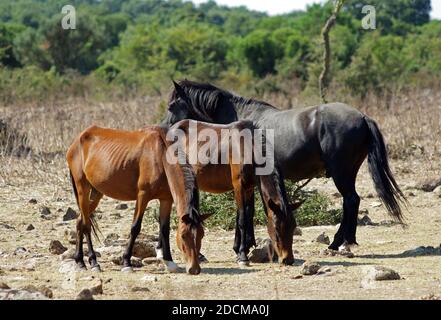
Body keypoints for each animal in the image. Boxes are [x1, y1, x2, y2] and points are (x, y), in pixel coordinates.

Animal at [65, 125, 206, 276]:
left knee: (80, 221)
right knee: (86, 224)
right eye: (184, 236)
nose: (194, 269)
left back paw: (79, 260)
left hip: (96, 193)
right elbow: (135, 227)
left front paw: (170, 262)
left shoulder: (166, 199)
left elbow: (164, 229)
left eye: (201, 235)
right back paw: (93, 262)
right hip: (82, 189)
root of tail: (78, 139)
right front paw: (127, 262)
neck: (160, 153)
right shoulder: (143, 196)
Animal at [162, 119, 302, 264]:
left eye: (293, 227)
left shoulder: (249, 187)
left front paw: (240, 248)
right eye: (277, 229)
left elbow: (247, 215)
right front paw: (242, 255)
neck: (248, 147)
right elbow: (242, 219)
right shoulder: (238, 185)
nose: (288, 259)